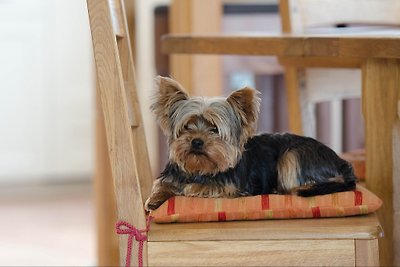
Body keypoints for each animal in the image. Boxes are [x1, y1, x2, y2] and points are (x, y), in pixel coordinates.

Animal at [145, 76, 358, 211]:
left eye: (215, 129)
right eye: (187, 127)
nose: (197, 141)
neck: (199, 169)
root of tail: (341, 161)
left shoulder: (233, 188)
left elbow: (200, 188)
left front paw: (190, 188)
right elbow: (161, 185)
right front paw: (155, 199)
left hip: (292, 155)